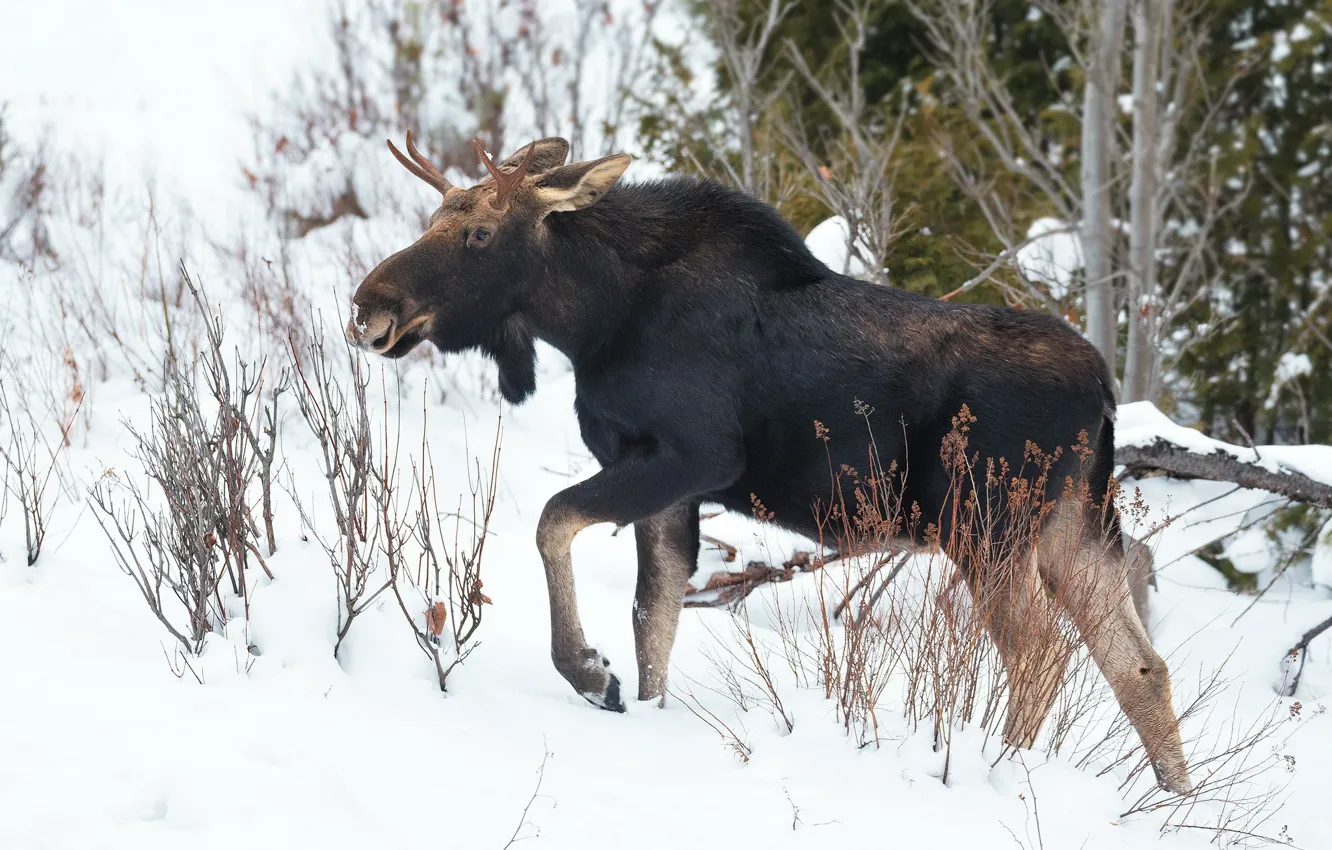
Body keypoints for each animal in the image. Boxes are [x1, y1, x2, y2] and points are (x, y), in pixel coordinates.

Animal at [348, 131, 1193, 794]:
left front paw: (591, 673)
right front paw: (634, 697)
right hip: (1075, 524)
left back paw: (1002, 773)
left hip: (987, 525)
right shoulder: (670, 484)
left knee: (1041, 654)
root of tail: (1104, 393)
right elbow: (653, 617)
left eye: (480, 234)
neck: (591, 318)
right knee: (1140, 666)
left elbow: (555, 524)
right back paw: (1174, 801)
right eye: (435, 220)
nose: (369, 305)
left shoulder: (691, 454)